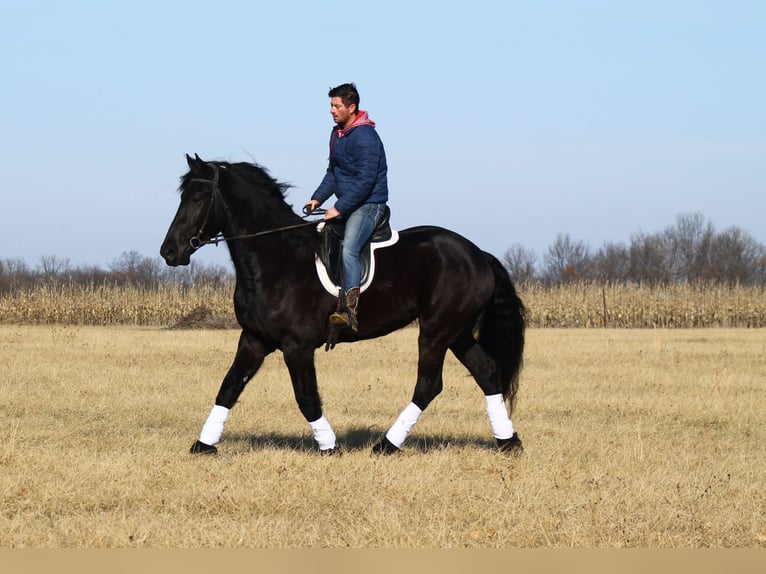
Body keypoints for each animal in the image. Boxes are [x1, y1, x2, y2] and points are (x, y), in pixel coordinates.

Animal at [159, 154, 524, 460]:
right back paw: (508, 442)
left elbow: (306, 397)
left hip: (436, 331)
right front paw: (203, 445)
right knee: (486, 372)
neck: (275, 257)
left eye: (196, 199)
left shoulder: (297, 346)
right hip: (456, 332)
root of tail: (478, 255)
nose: (169, 252)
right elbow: (229, 387)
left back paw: (386, 445)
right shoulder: (254, 339)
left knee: (429, 385)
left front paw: (329, 446)